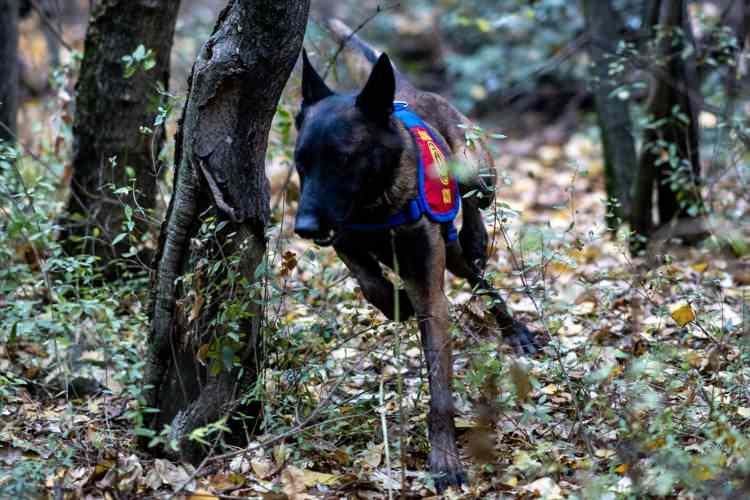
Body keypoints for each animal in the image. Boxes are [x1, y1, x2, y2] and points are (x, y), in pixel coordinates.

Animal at [294, 24, 540, 492]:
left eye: (343, 158)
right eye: (301, 163)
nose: (304, 226)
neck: (377, 206)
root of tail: (405, 90)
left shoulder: (431, 296)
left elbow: (440, 392)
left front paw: (444, 461)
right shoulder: (346, 239)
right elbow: (368, 279)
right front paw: (394, 302)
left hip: (478, 172)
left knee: (476, 205)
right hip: (451, 255)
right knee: (475, 274)